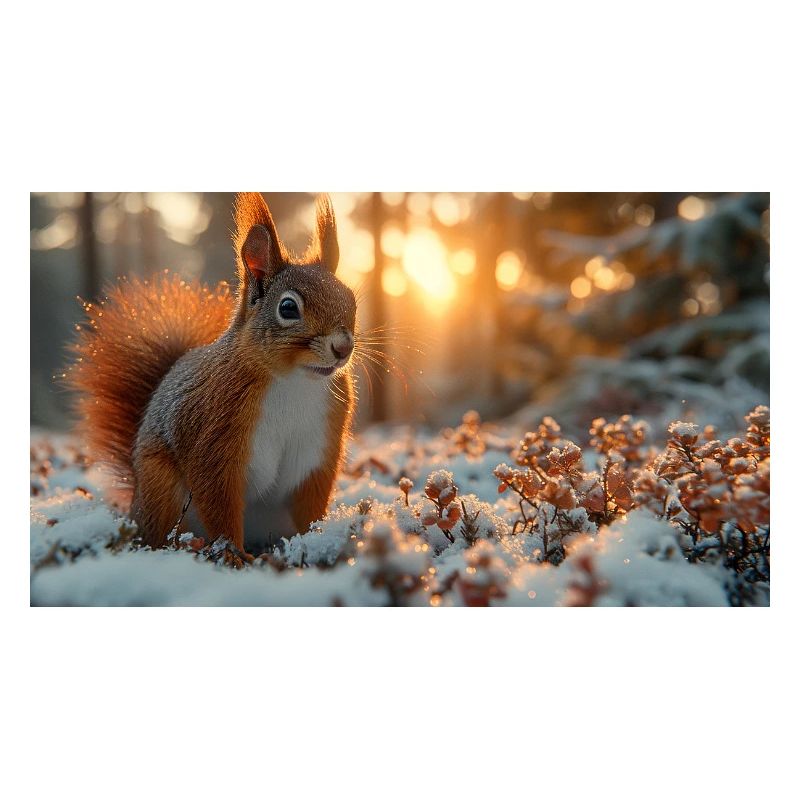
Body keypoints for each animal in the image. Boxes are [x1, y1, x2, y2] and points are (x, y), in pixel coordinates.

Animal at [67, 192, 357, 554]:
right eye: (288, 308)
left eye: (351, 298)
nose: (343, 347)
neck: (295, 382)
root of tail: (135, 505)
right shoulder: (214, 433)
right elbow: (217, 498)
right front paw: (233, 555)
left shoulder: (317, 452)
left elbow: (311, 501)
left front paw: (315, 540)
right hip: (161, 490)